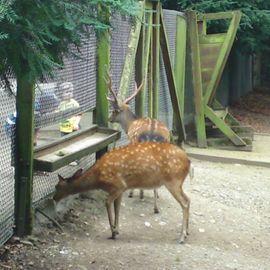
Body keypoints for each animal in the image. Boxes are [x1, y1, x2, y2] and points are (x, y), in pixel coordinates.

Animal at [53, 142, 190, 244]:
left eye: (57, 187)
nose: (54, 198)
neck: (98, 178)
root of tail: (188, 161)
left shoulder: (118, 185)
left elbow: (107, 203)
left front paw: (113, 232)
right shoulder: (121, 190)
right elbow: (117, 207)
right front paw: (117, 230)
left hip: (173, 180)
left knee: (184, 203)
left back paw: (182, 237)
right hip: (178, 183)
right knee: (188, 200)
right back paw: (187, 232)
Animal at [106, 73, 171, 213]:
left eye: (114, 110)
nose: (109, 118)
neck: (129, 125)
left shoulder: (131, 142)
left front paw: (133, 193)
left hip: (140, 143)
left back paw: (154, 207)